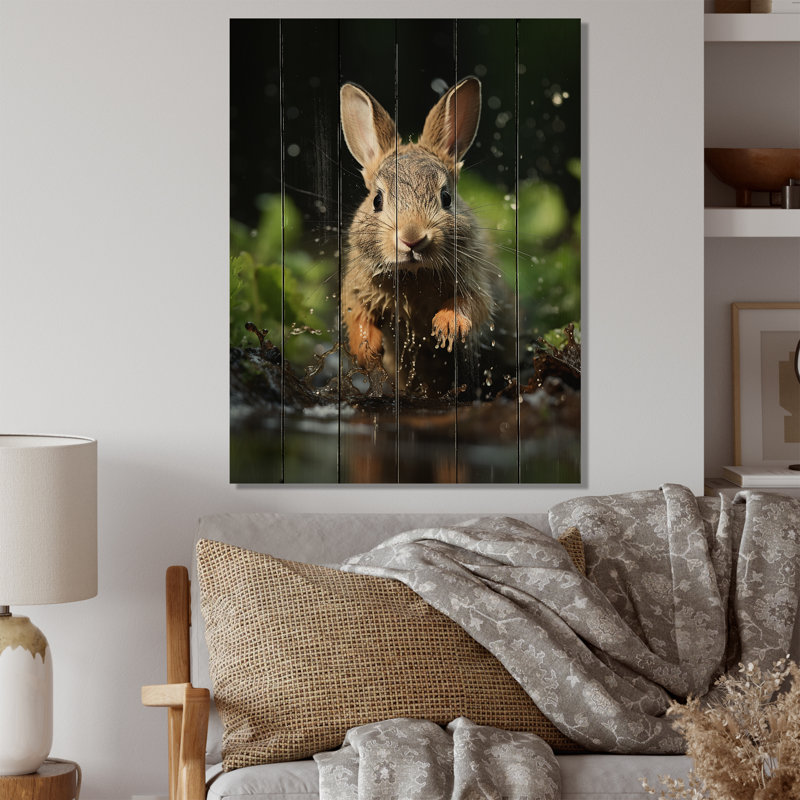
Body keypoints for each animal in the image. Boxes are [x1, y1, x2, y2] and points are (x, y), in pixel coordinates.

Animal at [340, 76, 508, 397]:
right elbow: (356, 314)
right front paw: (367, 349)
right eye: (377, 200)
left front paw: (447, 326)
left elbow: (474, 305)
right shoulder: (357, 287)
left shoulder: (473, 280)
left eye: (446, 198)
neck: (413, 273)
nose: (412, 238)